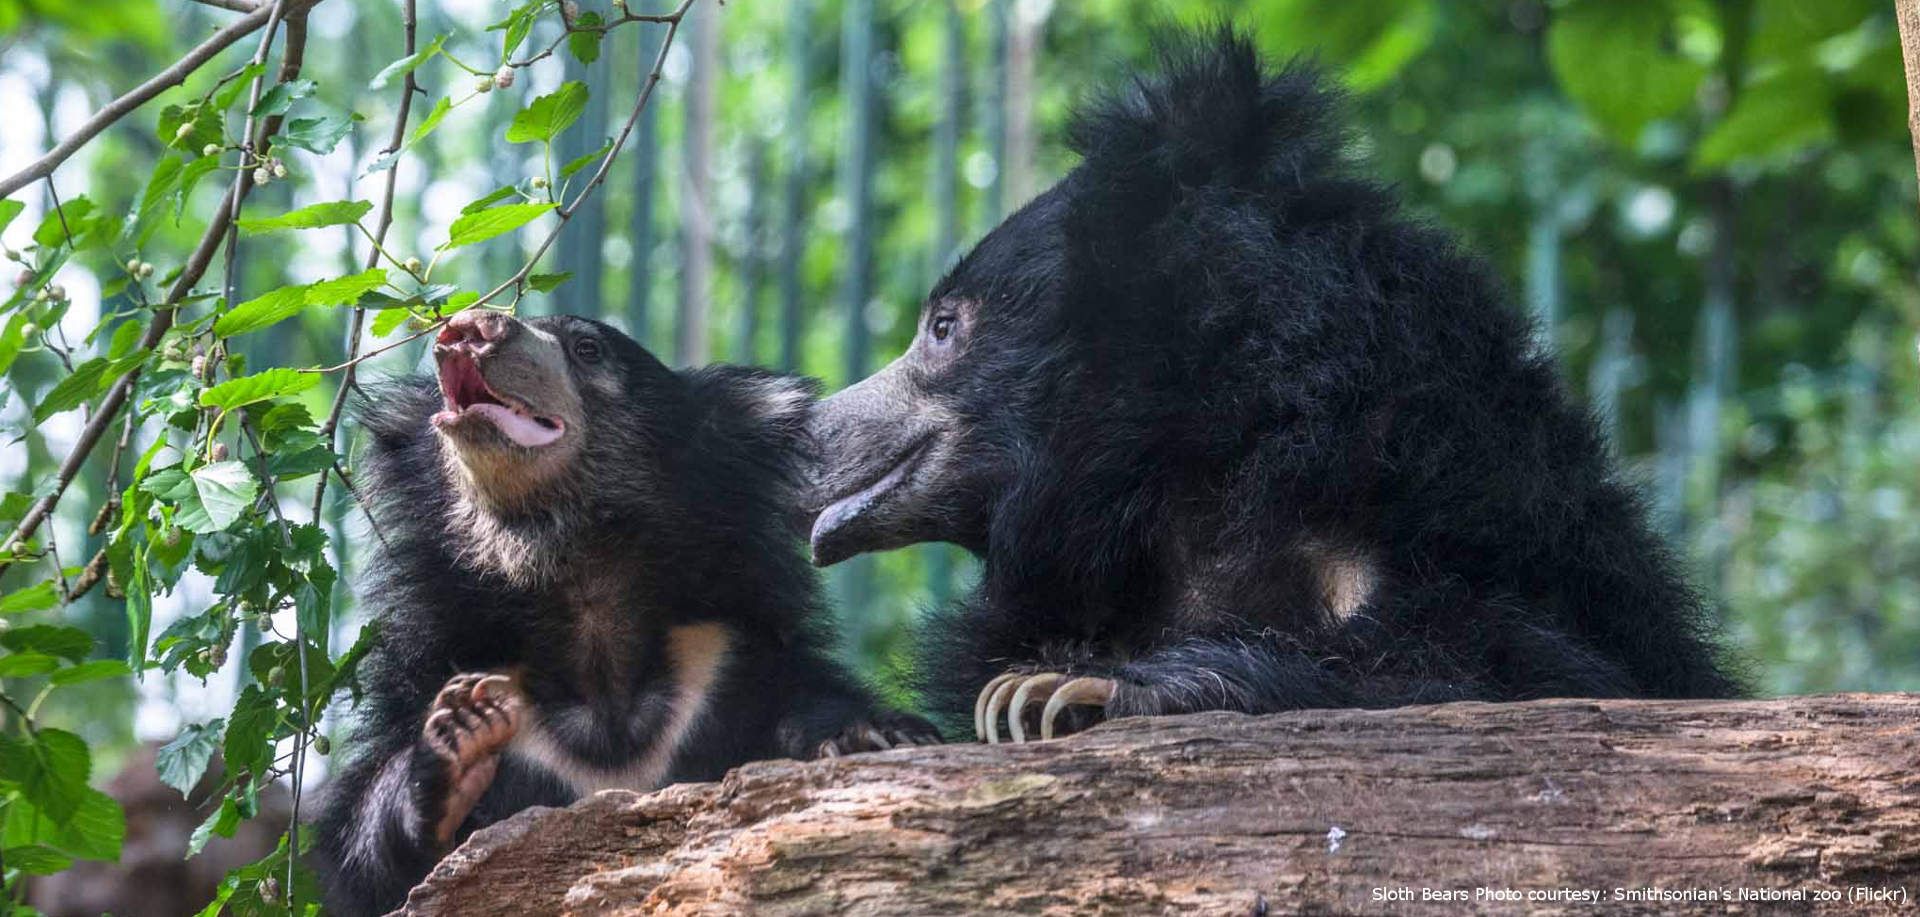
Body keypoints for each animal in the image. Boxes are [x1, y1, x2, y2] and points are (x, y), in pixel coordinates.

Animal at [314, 310, 936, 917]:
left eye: (587, 349)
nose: (469, 329)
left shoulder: (722, 663)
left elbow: (801, 697)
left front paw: (875, 734)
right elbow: (366, 861)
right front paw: (460, 740)